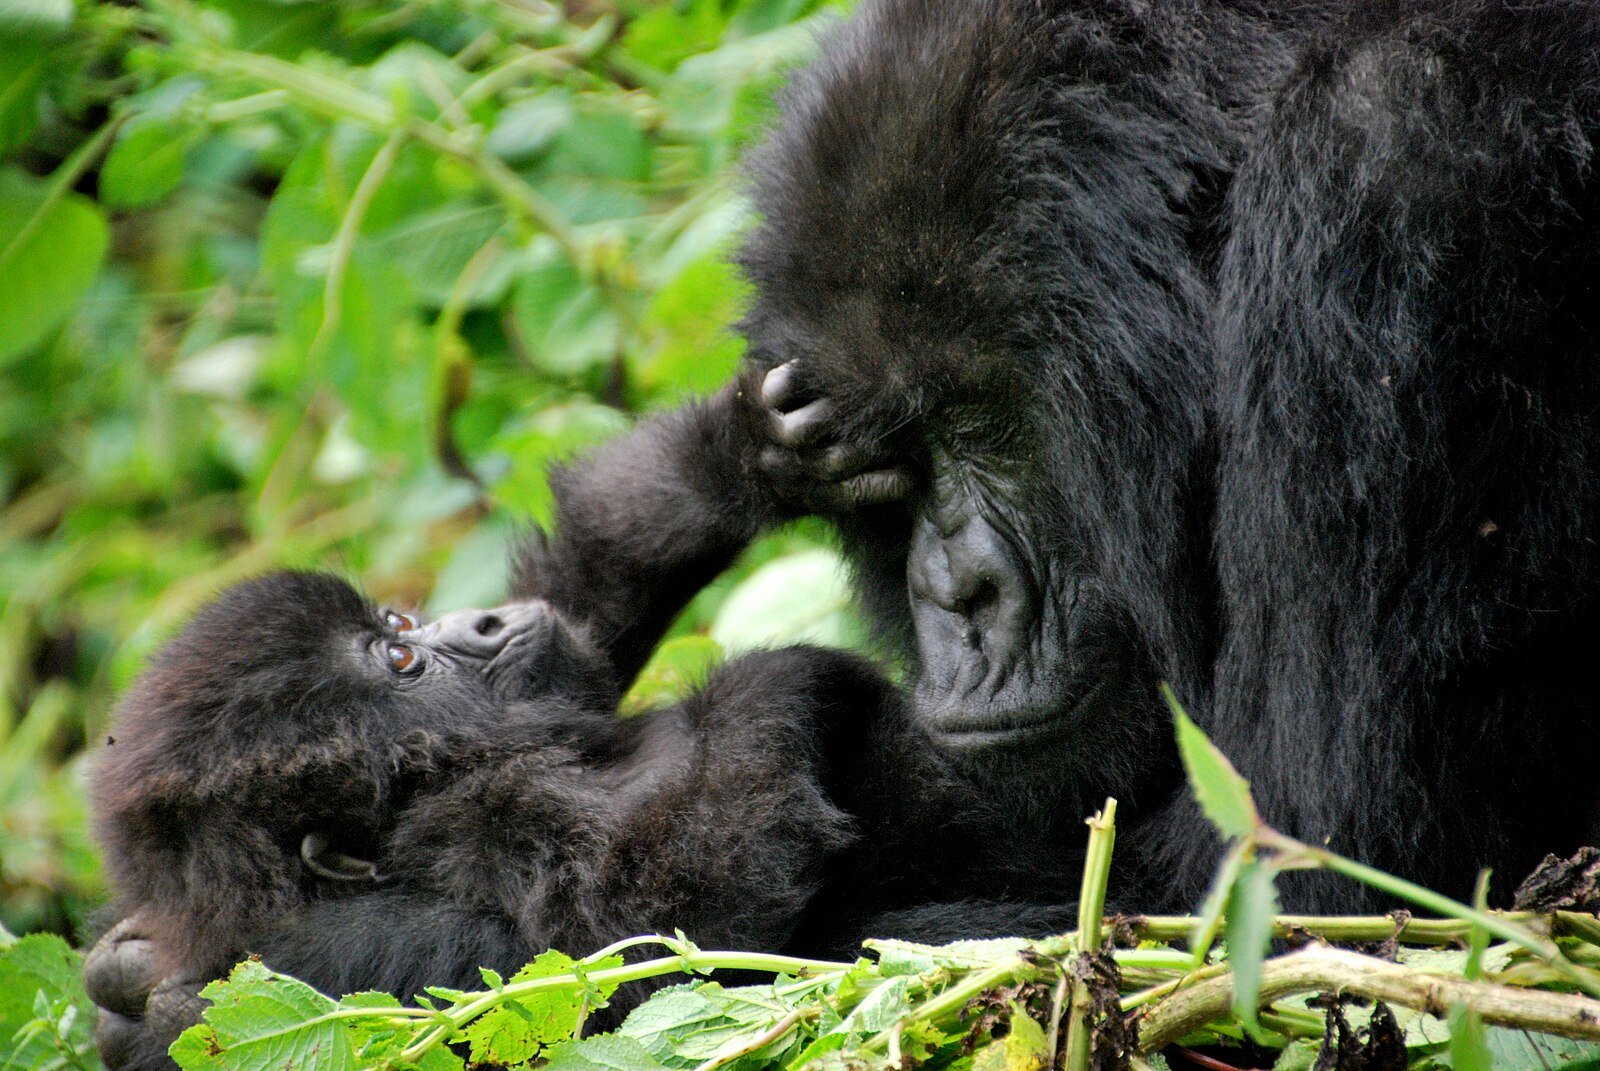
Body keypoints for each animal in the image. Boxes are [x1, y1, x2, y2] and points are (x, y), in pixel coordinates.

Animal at [93, 573, 908, 1062]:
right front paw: (786, 675)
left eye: (401, 620)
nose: (484, 616)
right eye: (399, 658)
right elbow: (654, 935)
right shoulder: (494, 813)